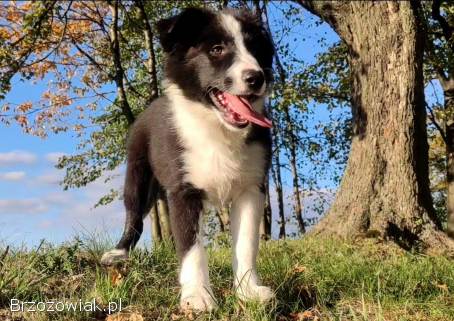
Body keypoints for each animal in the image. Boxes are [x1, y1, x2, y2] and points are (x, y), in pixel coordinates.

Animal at [101, 7, 274, 312]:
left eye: (255, 49)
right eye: (217, 49)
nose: (256, 78)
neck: (216, 128)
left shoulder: (251, 187)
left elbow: (246, 243)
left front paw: (248, 291)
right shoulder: (183, 191)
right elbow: (192, 248)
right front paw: (198, 297)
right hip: (137, 174)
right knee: (134, 216)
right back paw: (118, 253)